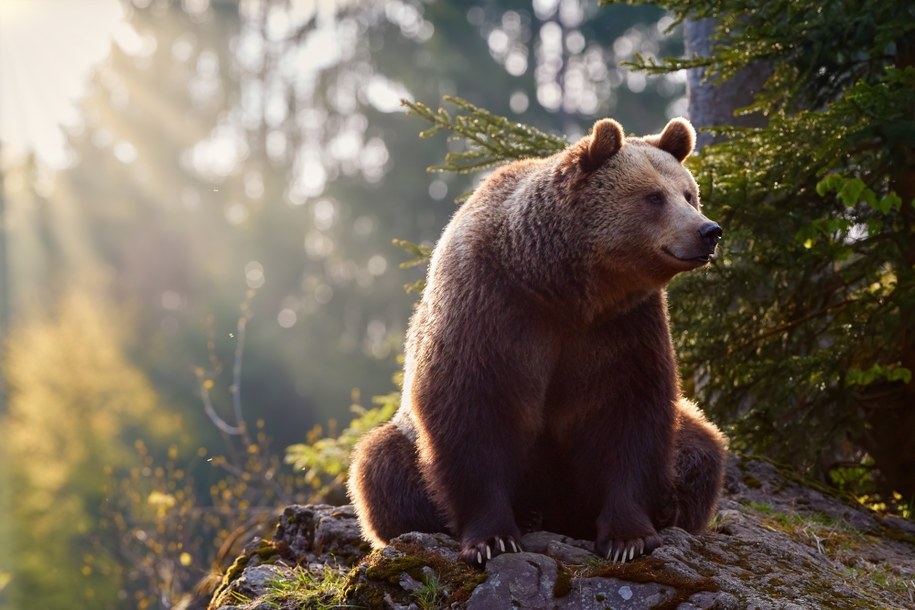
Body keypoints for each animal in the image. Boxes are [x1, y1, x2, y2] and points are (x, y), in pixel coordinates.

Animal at [348, 116, 728, 564]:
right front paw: (493, 538)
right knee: (380, 467)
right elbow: (472, 413)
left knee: (701, 446)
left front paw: (628, 537)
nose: (709, 231)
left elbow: (630, 416)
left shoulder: (623, 327)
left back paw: (668, 506)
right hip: (403, 438)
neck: (560, 287)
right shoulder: (490, 310)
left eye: (688, 194)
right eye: (654, 196)